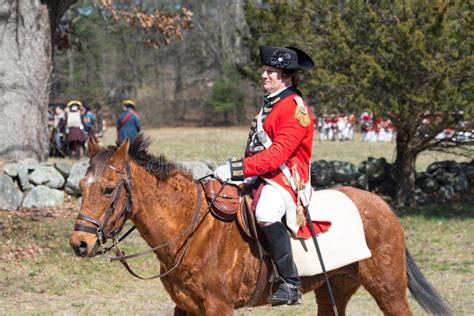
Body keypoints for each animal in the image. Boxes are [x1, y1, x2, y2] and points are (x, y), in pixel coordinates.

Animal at [69, 136, 452, 316]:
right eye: (81, 187)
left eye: (108, 189)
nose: (79, 243)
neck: (191, 231)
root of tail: (381, 206)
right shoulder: (185, 308)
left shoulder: (218, 308)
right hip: (335, 289)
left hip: (389, 291)